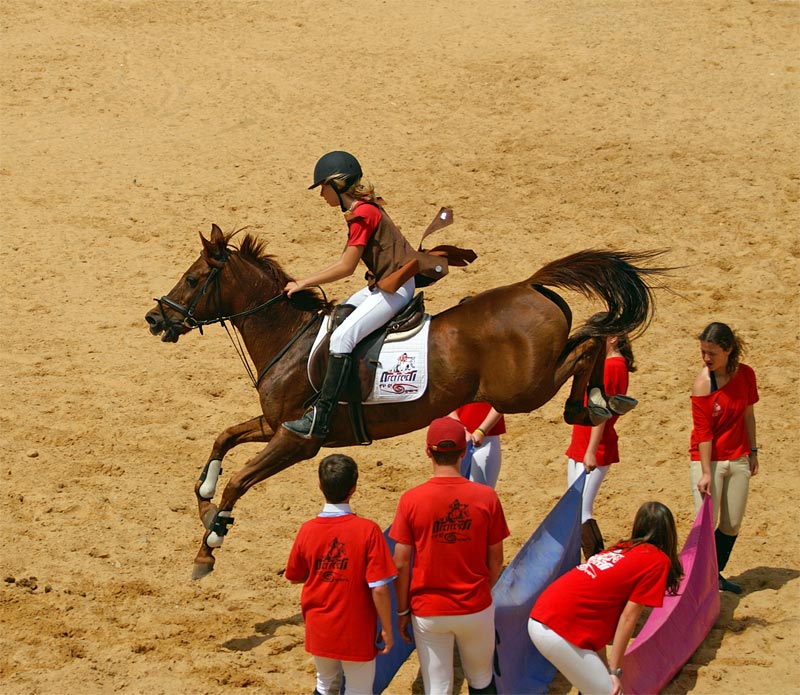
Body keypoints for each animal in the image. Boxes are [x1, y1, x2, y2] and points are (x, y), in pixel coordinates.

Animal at [145, 226, 668, 580]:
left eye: (192, 278)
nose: (155, 319)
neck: (287, 337)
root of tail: (532, 285)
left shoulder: (299, 441)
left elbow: (240, 479)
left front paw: (209, 544)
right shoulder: (277, 425)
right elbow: (223, 439)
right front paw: (206, 500)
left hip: (523, 390)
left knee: (587, 344)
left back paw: (592, 401)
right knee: (589, 338)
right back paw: (601, 397)